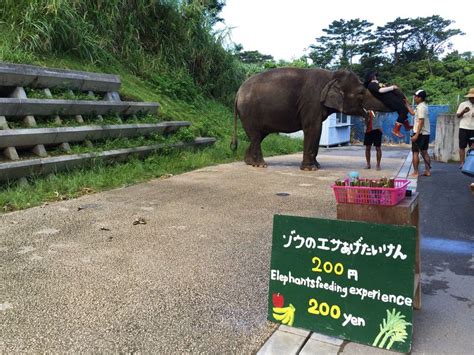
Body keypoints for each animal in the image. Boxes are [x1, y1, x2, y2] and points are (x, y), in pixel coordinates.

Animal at [231, 69, 390, 172]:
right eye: (361, 93)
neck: (331, 75)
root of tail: (238, 92)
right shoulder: (311, 101)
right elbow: (313, 128)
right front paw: (311, 169)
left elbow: (317, 129)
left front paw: (317, 166)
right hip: (249, 112)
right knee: (256, 135)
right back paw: (260, 165)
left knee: (258, 136)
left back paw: (250, 162)